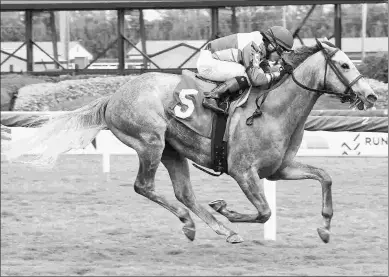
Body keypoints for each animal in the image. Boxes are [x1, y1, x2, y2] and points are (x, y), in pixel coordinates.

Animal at [6, 39, 376, 244]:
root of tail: (113, 96)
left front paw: (325, 227)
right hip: (150, 141)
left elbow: (325, 176)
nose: (371, 95)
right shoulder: (243, 171)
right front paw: (226, 209)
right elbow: (264, 212)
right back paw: (198, 222)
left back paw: (214, 228)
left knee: (183, 192)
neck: (273, 109)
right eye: (344, 64)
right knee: (144, 186)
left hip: (173, 150)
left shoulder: (278, 169)